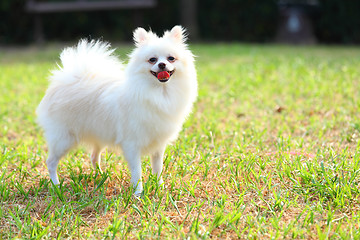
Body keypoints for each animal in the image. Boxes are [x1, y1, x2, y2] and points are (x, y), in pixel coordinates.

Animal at [37, 26, 197, 195]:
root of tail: (66, 79)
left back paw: (101, 176)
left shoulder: (158, 144)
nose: (162, 65)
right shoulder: (131, 144)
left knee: (94, 156)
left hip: (97, 134)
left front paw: (159, 187)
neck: (160, 92)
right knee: (51, 162)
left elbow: (158, 168)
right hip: (63, 139)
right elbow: (137, 171)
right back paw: (56, 185)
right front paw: (138, 193)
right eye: (152, 59)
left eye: (171, 58)